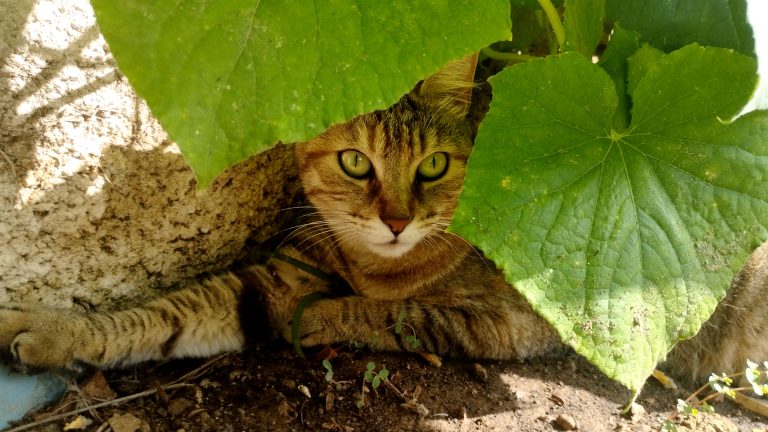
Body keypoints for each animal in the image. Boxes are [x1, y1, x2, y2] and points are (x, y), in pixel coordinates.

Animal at [0, 54, 764, 384]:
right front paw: (61, 327)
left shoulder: (523, 323)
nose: (396, 220)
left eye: (433, 166)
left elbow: (399, 314)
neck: (377, 265)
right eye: (354, 163)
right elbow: (163, 311)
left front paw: (322, 317)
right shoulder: (272, 278)